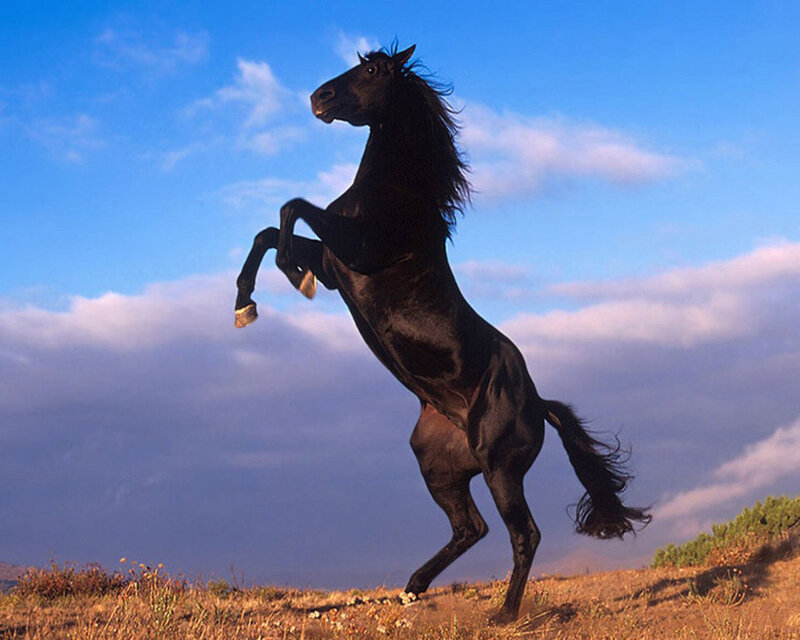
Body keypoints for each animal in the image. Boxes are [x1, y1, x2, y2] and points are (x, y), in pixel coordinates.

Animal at [234, 44, 650, 623]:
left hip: (500, 469)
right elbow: (268, 232)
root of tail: (538, 403)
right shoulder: (339, 266)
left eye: (371, 70)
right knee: (470, 528)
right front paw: (245, 304)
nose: (319, 98)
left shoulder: (355, 251)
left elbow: (291, 210)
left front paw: (293, 279)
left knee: (523, 534)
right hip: (439, 466)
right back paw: (412, 588)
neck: (396, 193)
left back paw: (503, 614)